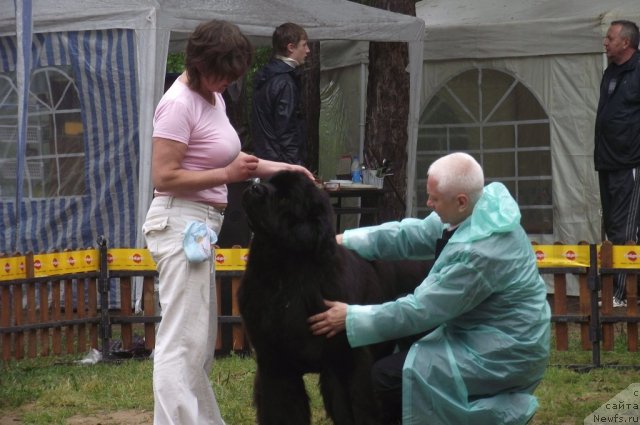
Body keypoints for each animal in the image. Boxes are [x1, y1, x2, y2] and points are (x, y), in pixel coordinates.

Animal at [239, 171, 430, 422]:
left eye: (284, 198)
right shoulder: (276, 364)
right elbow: (282, 410)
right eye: (266, 181)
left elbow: (356, 408)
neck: (285, 274)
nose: (253, 188)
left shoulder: (345, 361)